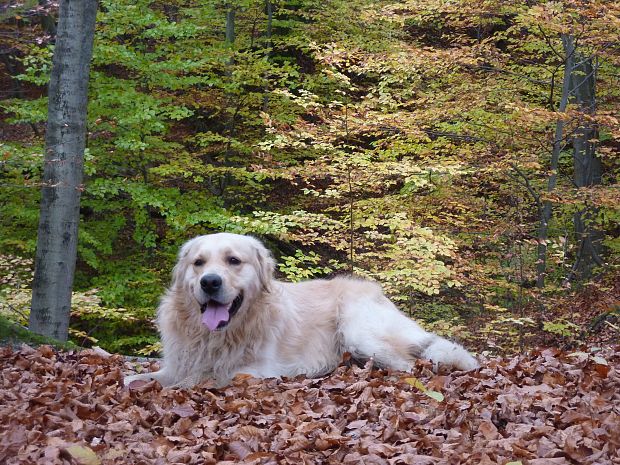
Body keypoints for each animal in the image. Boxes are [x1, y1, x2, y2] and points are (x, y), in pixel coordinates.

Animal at [123, 232, 478, 388]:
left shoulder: (258, 370)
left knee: (409, 365)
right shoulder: (177, 364)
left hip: (359, 331)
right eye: (198, 263)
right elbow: (135, 379)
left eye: (233, 260)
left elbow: (205, 379)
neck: (218, 336)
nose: (210, 282)